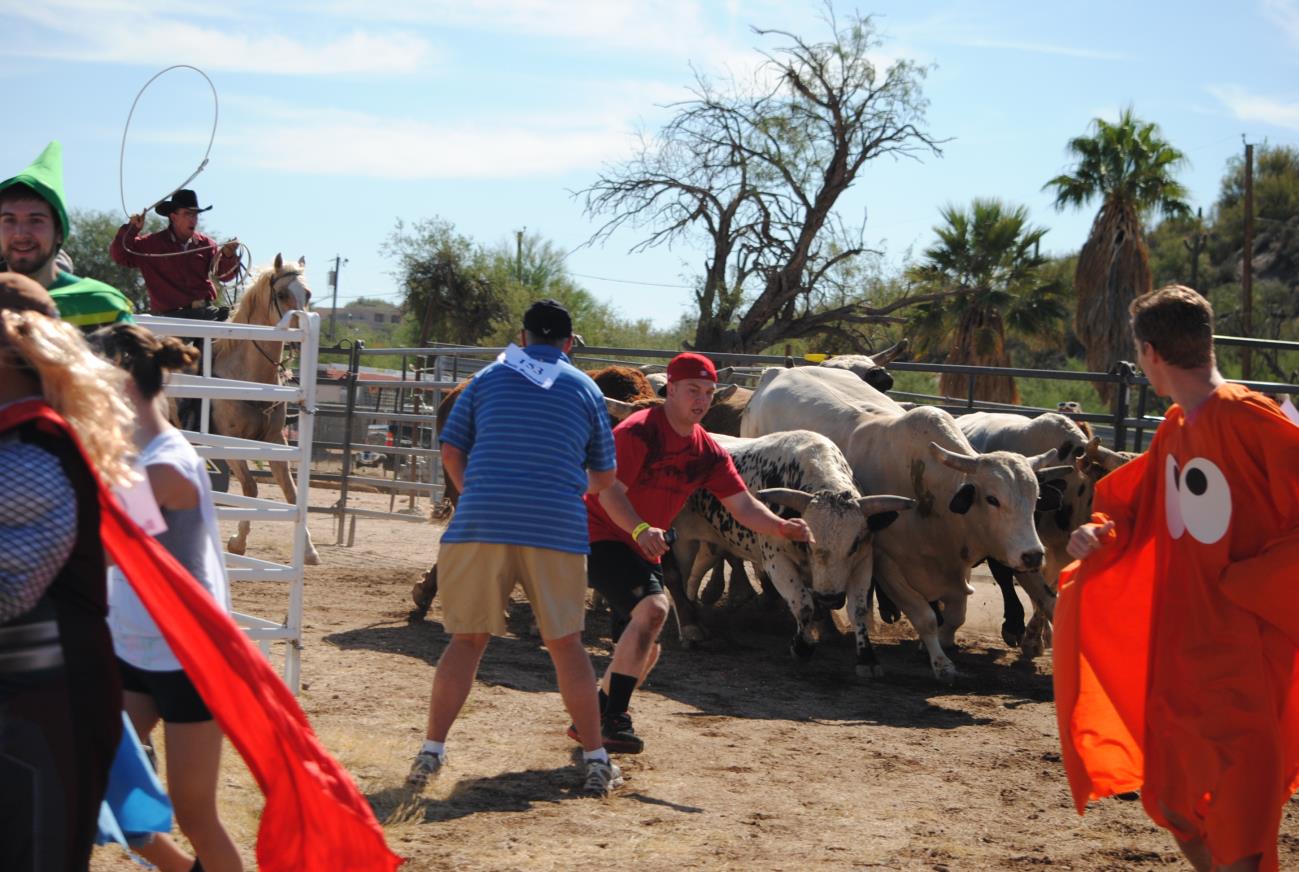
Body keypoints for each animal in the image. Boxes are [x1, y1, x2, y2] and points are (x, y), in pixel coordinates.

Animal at [214, 256, 320, 564]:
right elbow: (250, 489)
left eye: (307, 293)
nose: (299, 336)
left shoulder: (275, 441)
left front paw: (308, 549)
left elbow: (291, 492)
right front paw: (238, 542)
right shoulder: (229, 444)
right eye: (282, 294)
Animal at [743, 369, 1065, 680]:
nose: (1033, 555)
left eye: (1036, 498)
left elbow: (960, 613)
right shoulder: (886, 563)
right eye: (992, 498)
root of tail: (775, 372)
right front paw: (941, 663)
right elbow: (924, 616)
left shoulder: (978, 560)